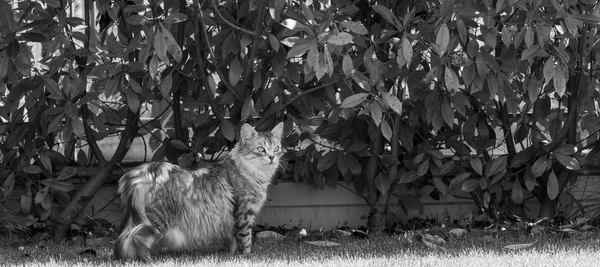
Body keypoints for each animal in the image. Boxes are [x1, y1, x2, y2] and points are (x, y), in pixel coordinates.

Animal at [113, 123, 286, 262]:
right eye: (261, 149)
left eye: (276, 148)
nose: (272, 157)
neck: (254, 173)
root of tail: (144, 172)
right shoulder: (243, 212)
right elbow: (245, 239)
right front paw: (247, 256)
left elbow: (232, 241)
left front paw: (231, 255)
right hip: (155, 219)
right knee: (135, 239)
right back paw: (146, 259)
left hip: (136, 216)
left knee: (124, 240)